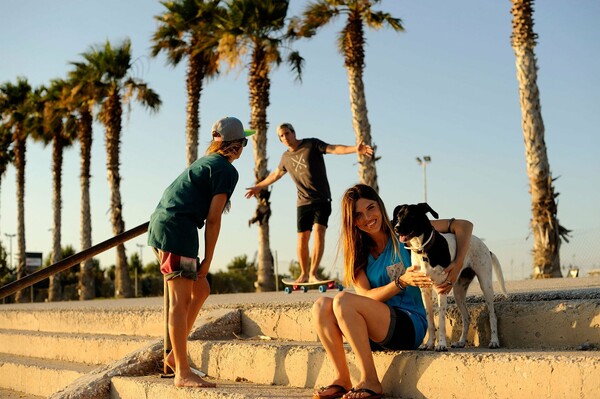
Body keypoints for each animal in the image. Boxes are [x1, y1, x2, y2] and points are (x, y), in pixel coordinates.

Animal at [392, 205, 504, 352]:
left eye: (411, 215)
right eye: (398, 216)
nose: (396, 228)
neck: (423, 250)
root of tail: (486, 248)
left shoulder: (441, 289)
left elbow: (440, 321)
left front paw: (441, 344)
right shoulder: (425, 291)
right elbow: (430, 320)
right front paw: (429, 343)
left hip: (486, 285)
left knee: (493, 315)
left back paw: (494, 341)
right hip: (458, 292)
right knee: (467, 317)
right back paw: (461, 342)